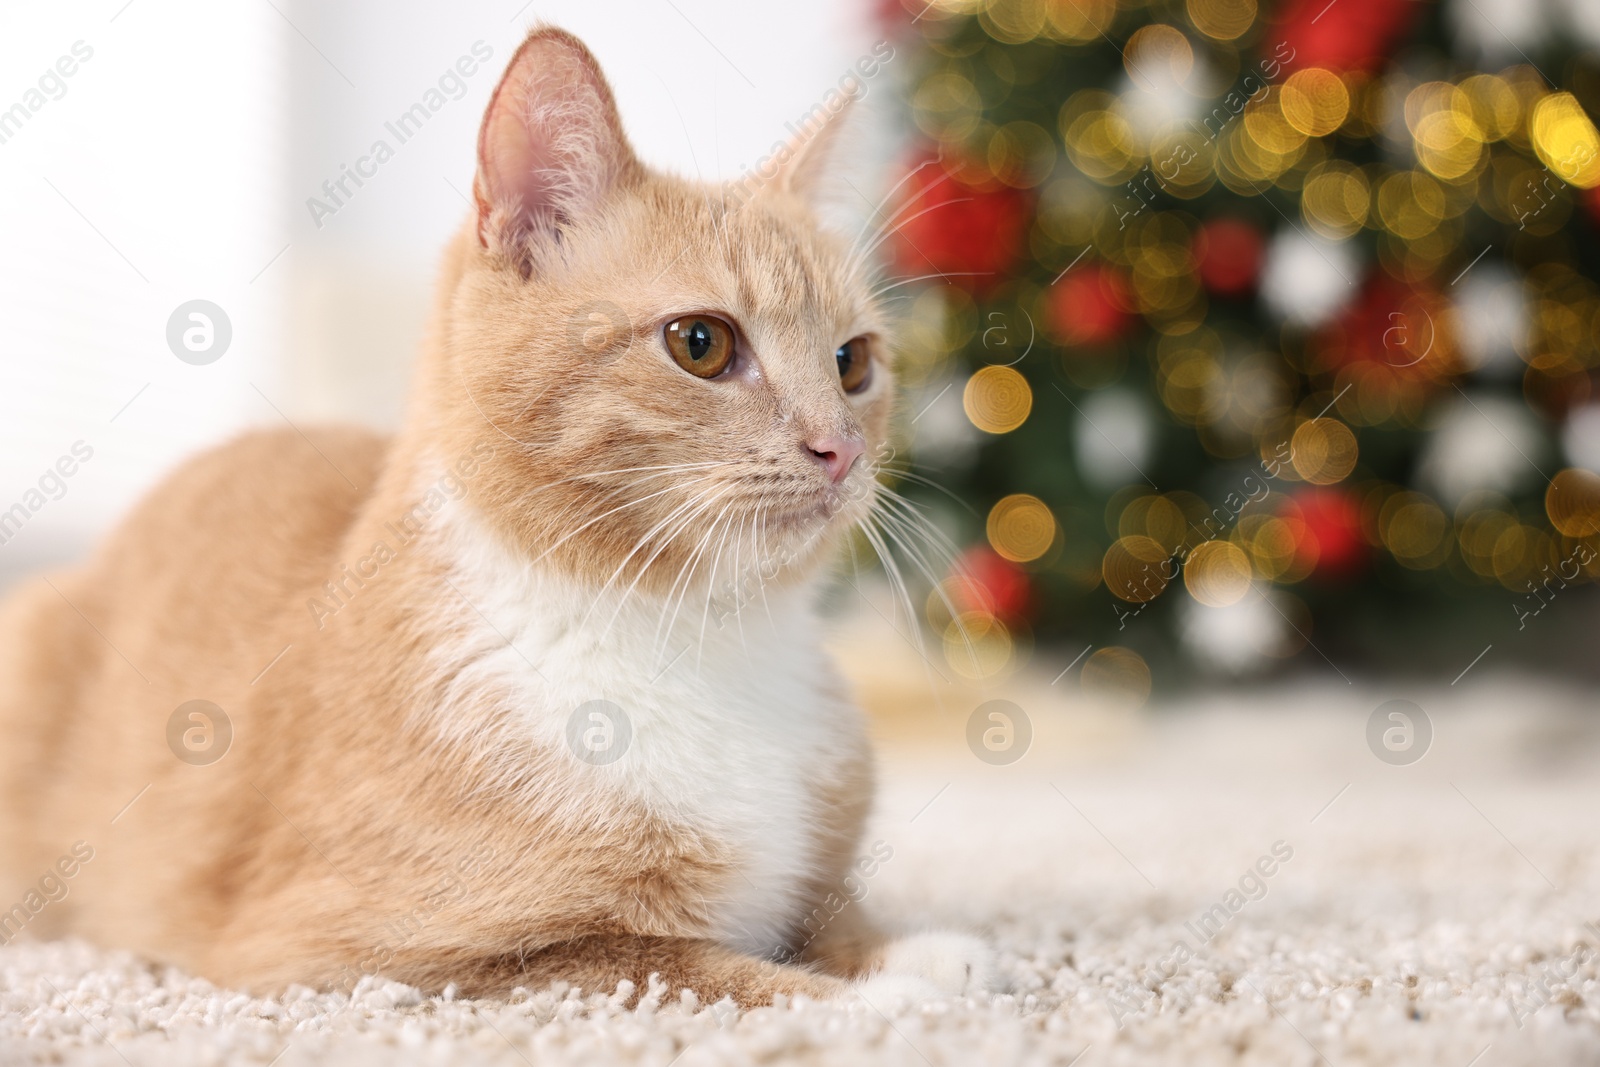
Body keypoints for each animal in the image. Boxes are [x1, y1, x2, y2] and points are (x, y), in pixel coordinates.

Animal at [0, 27, 985, 1011]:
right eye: (701, 343)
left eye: (853, 362)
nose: (840, 449)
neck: (702, 636)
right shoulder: (366, 956)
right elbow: (689, 964)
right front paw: (885, 1000)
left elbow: (830, 914)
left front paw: (914, 954)